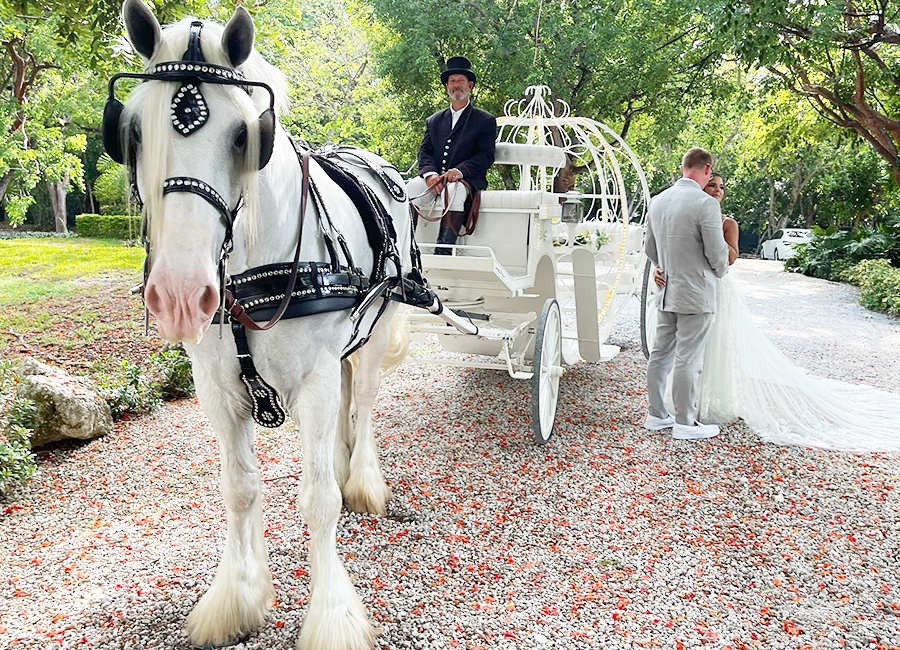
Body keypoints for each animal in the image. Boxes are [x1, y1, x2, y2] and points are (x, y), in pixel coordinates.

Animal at [114, 2, 410, 644]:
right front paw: (238, 596)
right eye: (134, 132)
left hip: (381, 322)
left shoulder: (314, 383)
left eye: (244, 135)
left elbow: (318, 500)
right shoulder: (218, 389)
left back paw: (362, 477)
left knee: (364, 397)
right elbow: (241, 487)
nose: (179, 293)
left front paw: (332, 619)